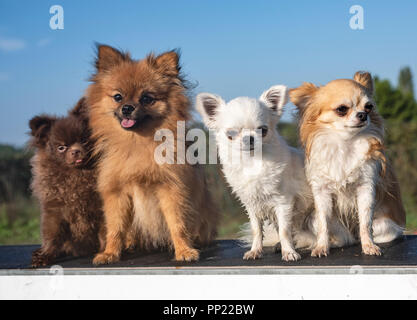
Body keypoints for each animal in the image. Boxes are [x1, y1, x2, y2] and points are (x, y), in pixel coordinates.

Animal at [28, 99, 104, 266]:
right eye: (61, 147)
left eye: (84, 140)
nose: (75, 151)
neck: (77, 174)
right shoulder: (54, 210)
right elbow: (52, 235)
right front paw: (45, 255)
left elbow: (106, 231)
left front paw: (105, 252)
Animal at [87, 45, 218, 264]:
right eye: (118, 97)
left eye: (146, 98)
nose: (127, 108)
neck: (137, 143)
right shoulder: (117, 193)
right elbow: (115, 228)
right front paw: (110, 253)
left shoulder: (170, 189)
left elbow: (177, 223)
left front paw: (184, 250)